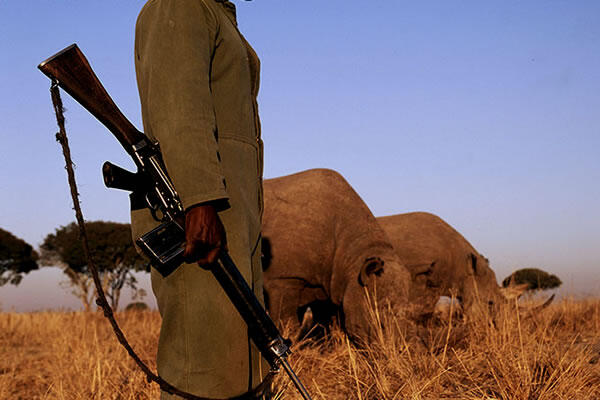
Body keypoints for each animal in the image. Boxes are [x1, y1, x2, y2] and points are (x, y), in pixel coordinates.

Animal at [262, 168, 412, 340]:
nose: (396, 347)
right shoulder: (283, 279)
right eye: (379, 321)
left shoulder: (328, 285)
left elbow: (326, 328)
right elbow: (286, 323)